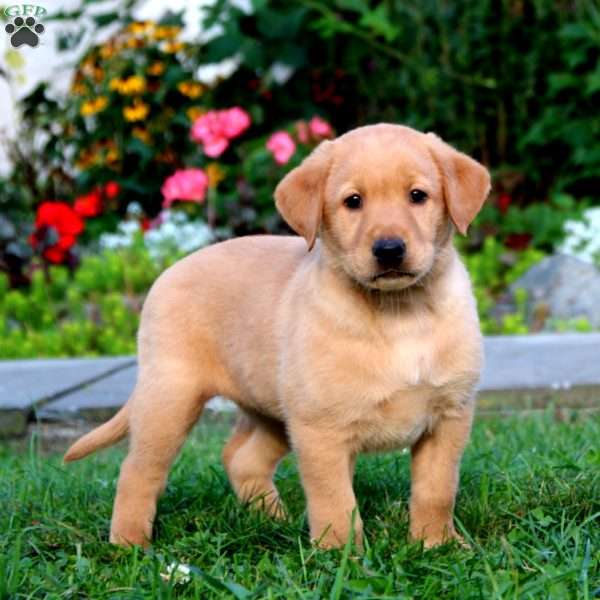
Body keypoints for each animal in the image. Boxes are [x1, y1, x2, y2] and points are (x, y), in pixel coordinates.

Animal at [65, 124, 490, 552]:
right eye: (353, 201)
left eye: (418, 196)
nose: (389, 250)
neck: (400, 312)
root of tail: (167, 272)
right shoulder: (320, 428)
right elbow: (335, 501)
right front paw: (342, 555)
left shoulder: (449, 415)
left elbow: (436, 490)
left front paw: (438, 544)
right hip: (171, 398)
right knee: (137, 470)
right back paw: (129, 542)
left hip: (271, 408)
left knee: (241, 458)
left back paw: (273, 520)